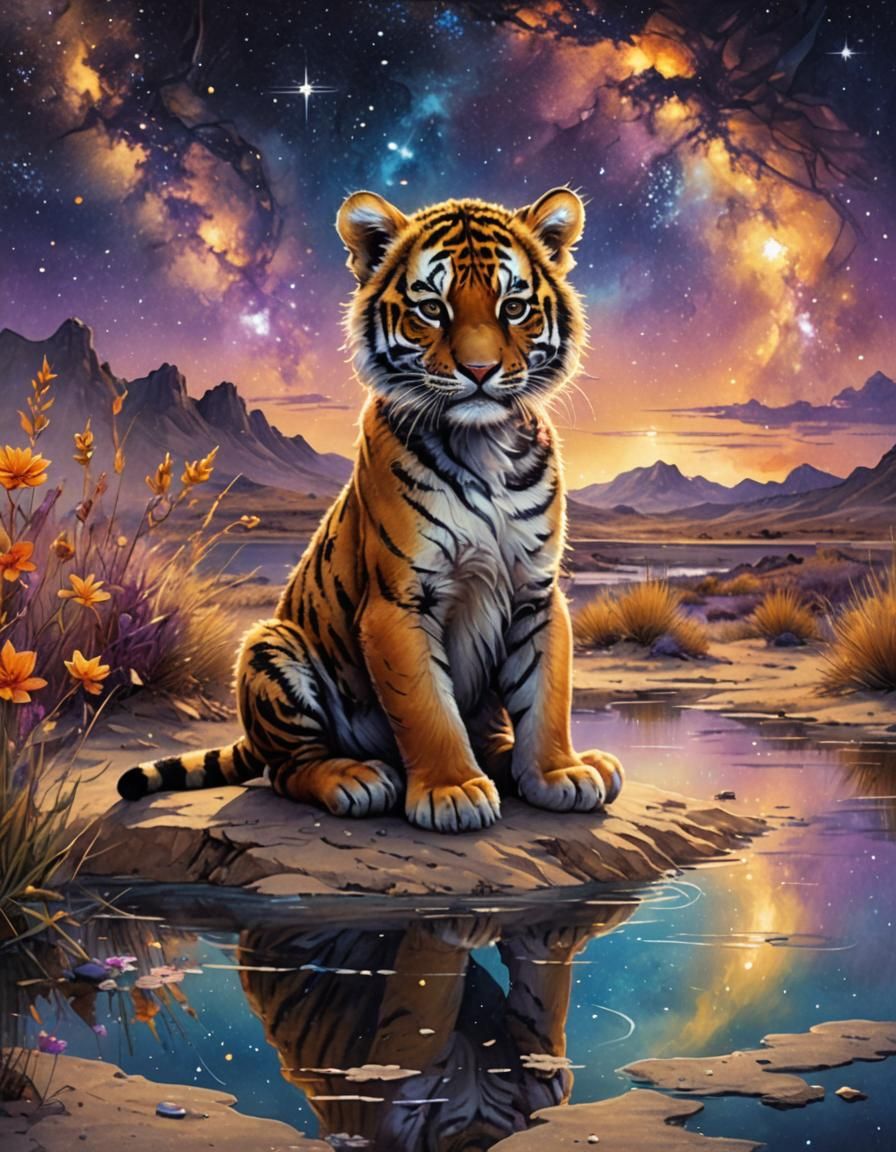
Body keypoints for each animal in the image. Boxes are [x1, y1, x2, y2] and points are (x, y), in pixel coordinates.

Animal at [117, 186, 624, 832]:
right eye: (432, 308)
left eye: (513, 307)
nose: (480, 371)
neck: (482, 443)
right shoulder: (399, 600)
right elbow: (427, 707)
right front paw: (452, 790)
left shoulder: (536, 592)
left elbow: (546, 692)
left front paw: (559, 772)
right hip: (270, 646)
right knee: (286, 769)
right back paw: (354, 778)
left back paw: (549, 761)